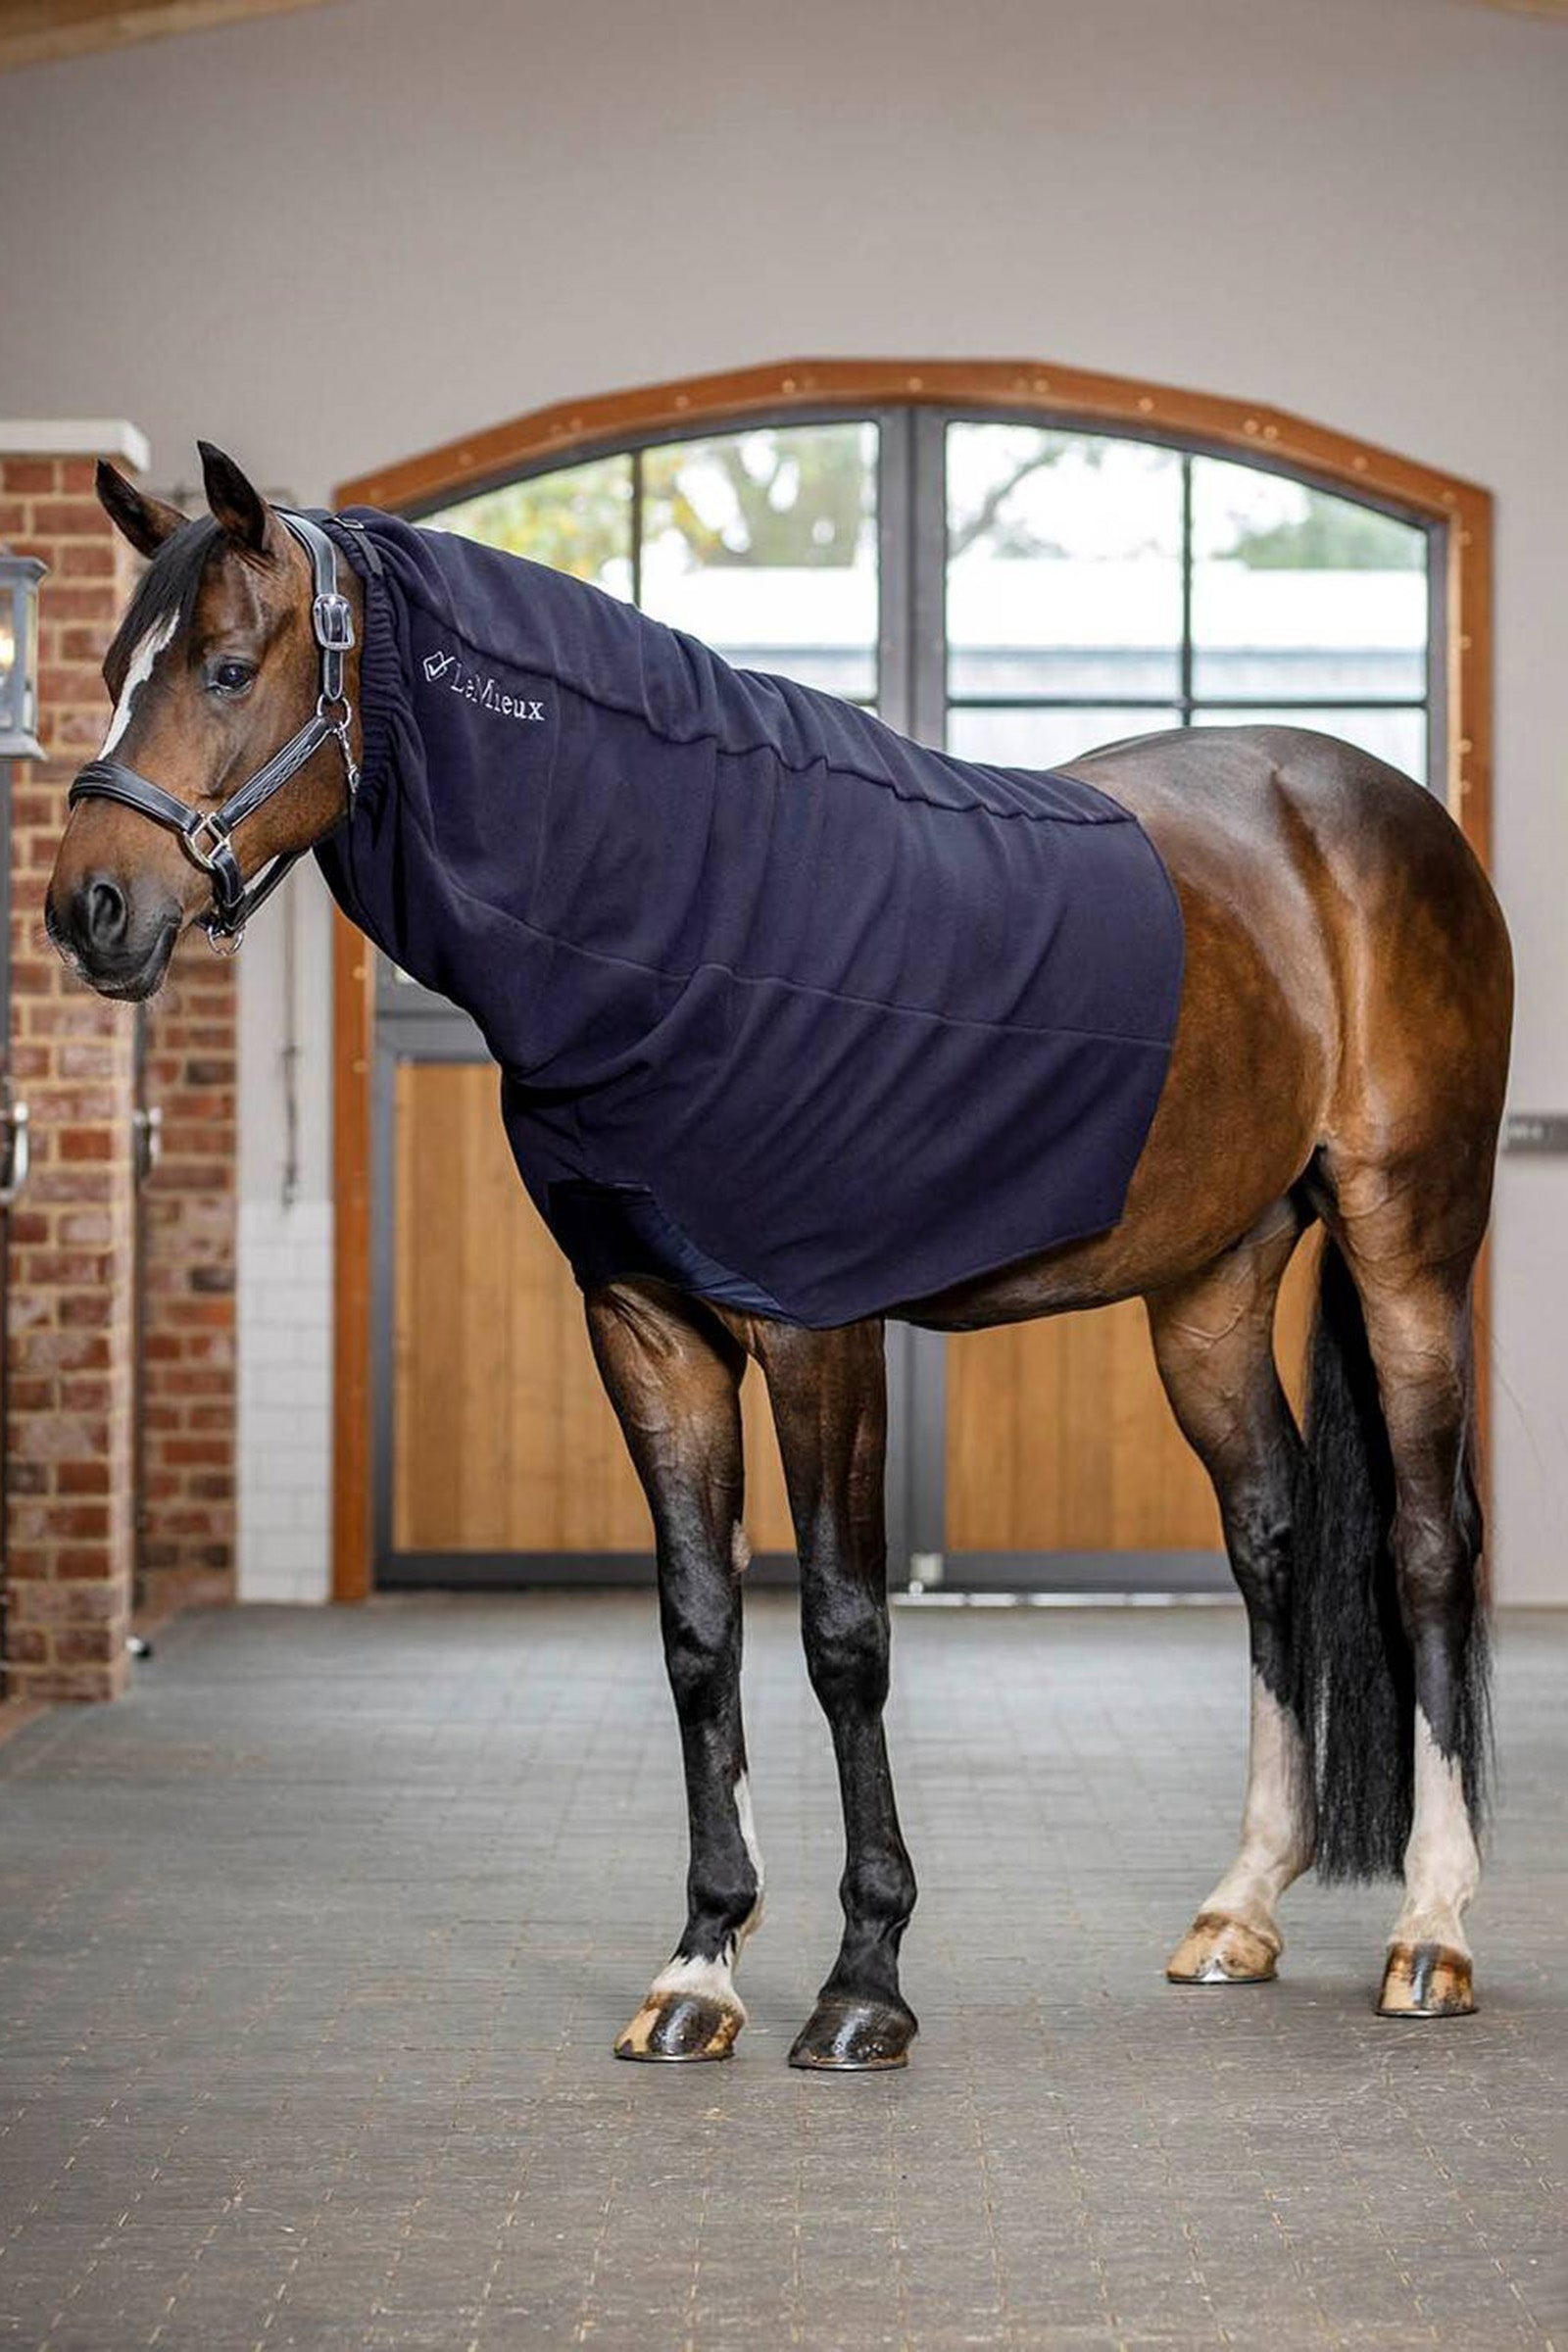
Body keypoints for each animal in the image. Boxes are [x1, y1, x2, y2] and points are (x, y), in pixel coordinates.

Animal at [47, 445, 1512, 2071]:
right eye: (110, 675)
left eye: (229, 669)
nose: (89, 909)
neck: (691, 905)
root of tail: (1369, 810)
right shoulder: (646, 1326)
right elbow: (698, 1637)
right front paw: (701, 1965)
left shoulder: (819, 1331)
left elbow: (840, 1631)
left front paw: (863, 1979)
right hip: (1209, 1284)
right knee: (1272, 1536)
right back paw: (1241, 1909)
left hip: (1409, 1247)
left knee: (1428, 1546)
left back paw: (1433, 1930)